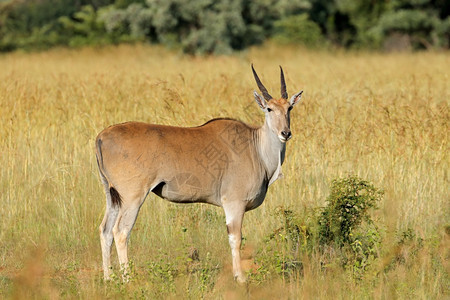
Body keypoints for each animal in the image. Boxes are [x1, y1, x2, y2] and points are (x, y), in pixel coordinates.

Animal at [96, 64, 304, 282]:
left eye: (289, 108)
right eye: (269, 109)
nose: (285, 133)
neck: (255, 146)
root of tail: (102, 136)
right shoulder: (234, 203)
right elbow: (235, 239)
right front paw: (239, 277)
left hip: (112, 196)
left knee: (105, 231)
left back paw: (108, 278)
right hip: (133, 197)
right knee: (120, 232)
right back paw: (128, 280)